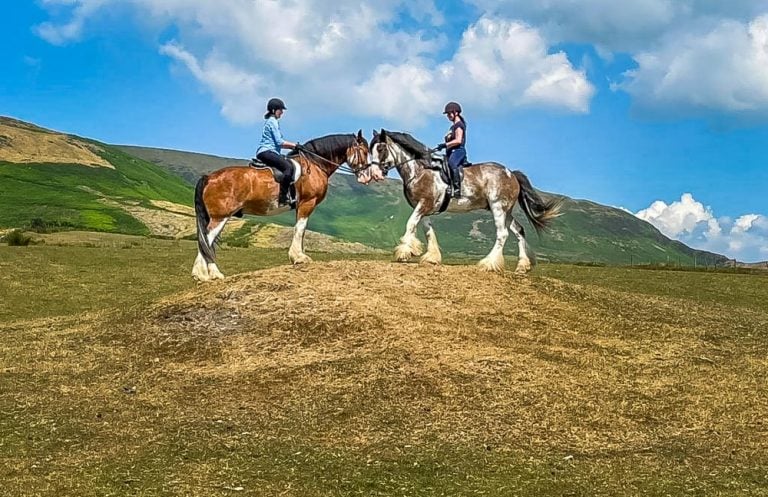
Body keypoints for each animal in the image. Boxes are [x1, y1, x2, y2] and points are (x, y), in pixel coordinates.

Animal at [194, 130, 370, 280]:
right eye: (365, 151)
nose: (366, 177)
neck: (315, 164)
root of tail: (209, 177)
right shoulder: (308, 202)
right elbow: (300, 229)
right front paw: (298, 257)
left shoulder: (301, 206)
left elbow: (301, 230)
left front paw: (298, 255)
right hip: (220, 216)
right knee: (206, 238)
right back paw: (206, 274)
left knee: (207, 240)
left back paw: (207, 274)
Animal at [368, 130, 560, 274]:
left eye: (381, 148)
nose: (375, 174)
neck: (420, 170)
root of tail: (511, 174)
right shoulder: (424, 208)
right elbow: (427, 230)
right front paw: (431, 257)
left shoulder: (424, 204)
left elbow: (410, 224)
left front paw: (404, 252)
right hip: (506, 211)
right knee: (519, 231)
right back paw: (522, 266)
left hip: (498, 207)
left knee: (503, 234)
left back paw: (488, 263)